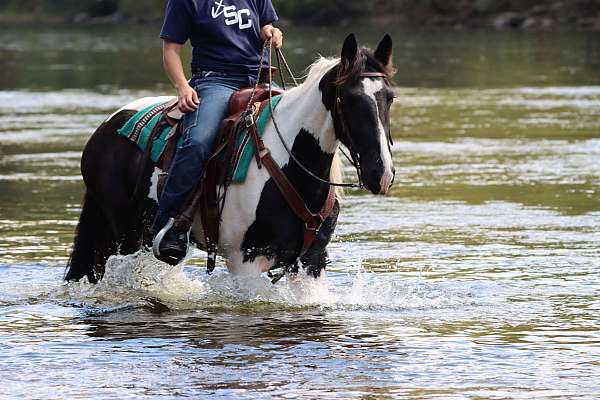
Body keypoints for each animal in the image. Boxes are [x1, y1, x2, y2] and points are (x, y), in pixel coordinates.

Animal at [65, 35, 396, 284]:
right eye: (349, 98)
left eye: (390, 97)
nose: (381, 173)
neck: (291, 167)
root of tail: (106, 127)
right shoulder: (246, 261)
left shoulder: (311, 262)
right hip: (125, 233)